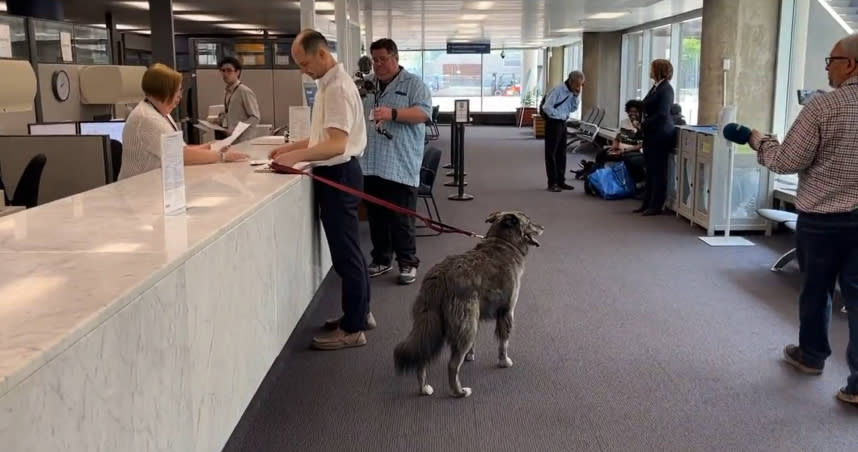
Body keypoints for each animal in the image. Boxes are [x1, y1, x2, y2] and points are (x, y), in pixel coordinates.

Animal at [392, 210, 540, 398]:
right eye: (530, 222)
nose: (542, 227)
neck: (503, 243)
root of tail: (440, 277)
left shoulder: (476, 318)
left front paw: (471, 355)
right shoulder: (506, 312)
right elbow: (503, 343)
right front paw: (504, 361)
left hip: (432, 324)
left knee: (422, 356)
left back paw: (424, 389)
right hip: (463, 323)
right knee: (452, 365)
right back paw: (459, 392)